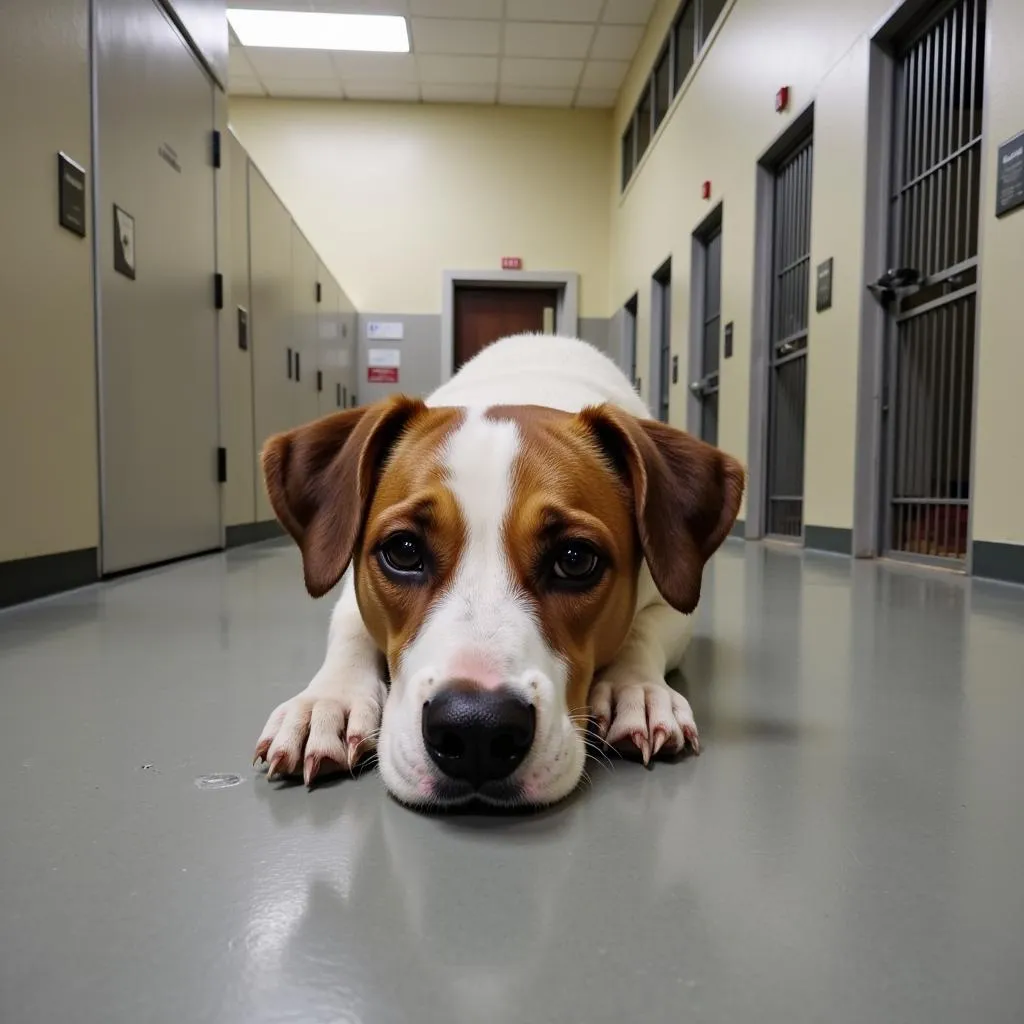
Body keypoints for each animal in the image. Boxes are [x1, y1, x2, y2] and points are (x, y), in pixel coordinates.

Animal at [250, 333, 741, 806]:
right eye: (404, 551)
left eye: (575, 559)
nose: (476, 731)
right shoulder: (351, 597)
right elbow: (349, 632)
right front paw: (326, 703)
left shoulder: (672, 602)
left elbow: (641, 632)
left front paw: (634, 689)